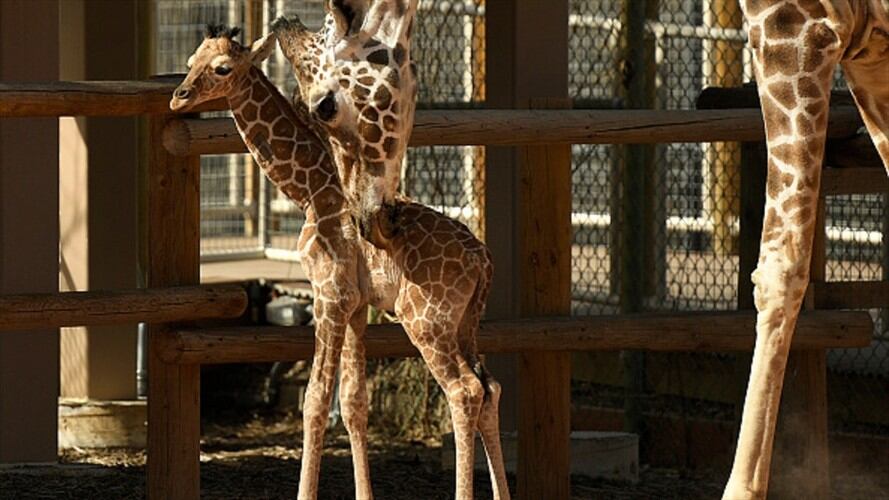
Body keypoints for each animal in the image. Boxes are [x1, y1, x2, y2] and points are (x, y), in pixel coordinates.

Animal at [169, 26, 509, 500]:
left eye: (222, 68)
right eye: (190, 62)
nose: (178, 96)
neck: (311, 189)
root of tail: (483, 261)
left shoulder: (329, 295)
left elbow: (315, 400)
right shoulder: (357, 305)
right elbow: (352, 403)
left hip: (426, 322)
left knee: (464, 391)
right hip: (465, 323)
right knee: (490, 387)